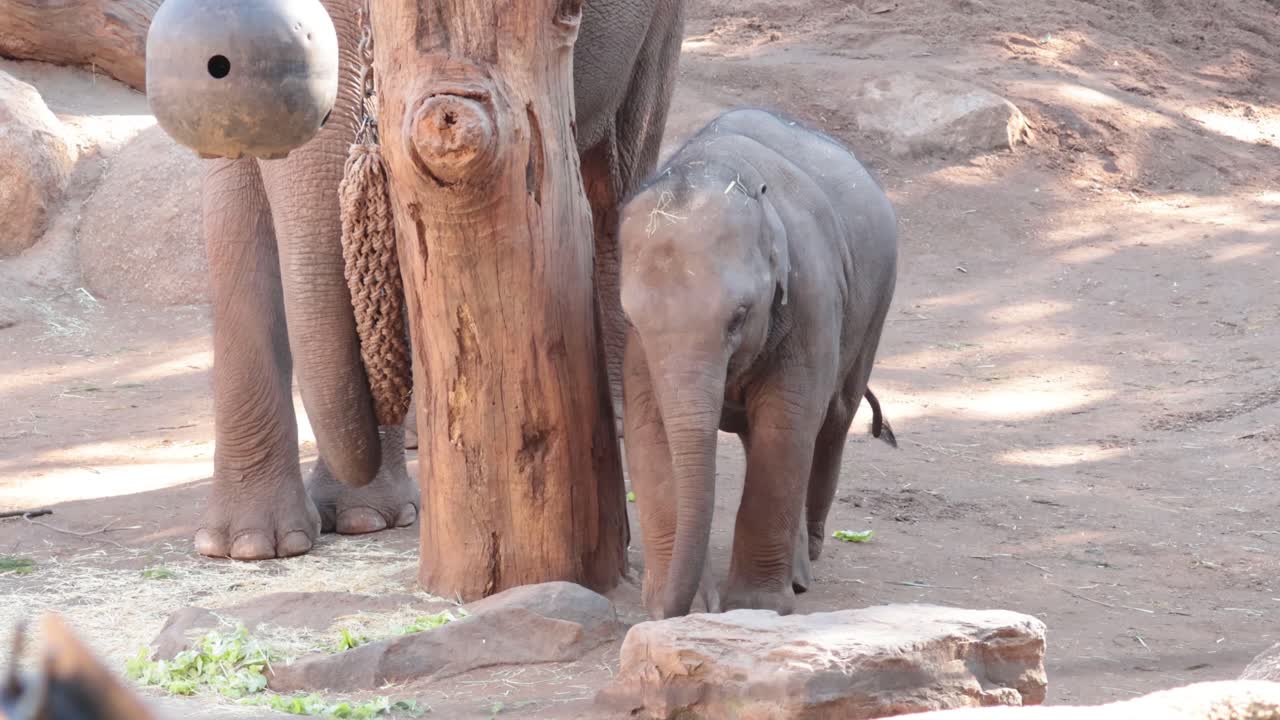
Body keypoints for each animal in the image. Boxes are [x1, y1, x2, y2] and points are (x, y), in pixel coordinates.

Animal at [618, 108, 899, 619]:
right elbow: (648, 426)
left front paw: (755, 606)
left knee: (835, 416)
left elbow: (787, 420)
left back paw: (806, 563)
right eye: (631, 316)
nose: (695, 606)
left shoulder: (810, 296)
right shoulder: (638, 346)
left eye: (739, 316)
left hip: (876, 301)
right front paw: (671, 605)